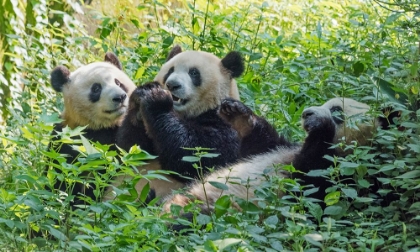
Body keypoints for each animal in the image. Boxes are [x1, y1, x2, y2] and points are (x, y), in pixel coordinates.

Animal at [114, 45, 246, 201]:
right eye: (170, 70)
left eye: (194, 73)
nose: (172, 85)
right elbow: (130, 151)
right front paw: (142, 95)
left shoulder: (228, 127)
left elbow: (193, 156)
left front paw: (156, 99)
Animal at [162, 97, 398, 214]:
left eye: (337, 110)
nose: (306, 113)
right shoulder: (282, 148)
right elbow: (261, 144)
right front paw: (238, 113)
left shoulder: (350, 181)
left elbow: (308, 190)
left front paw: (320, 125)